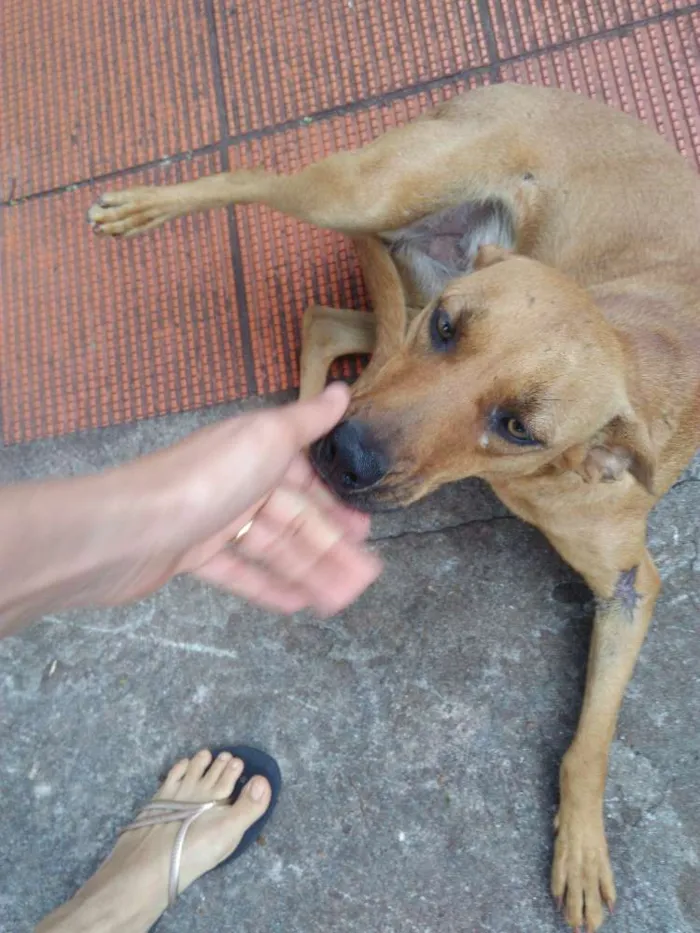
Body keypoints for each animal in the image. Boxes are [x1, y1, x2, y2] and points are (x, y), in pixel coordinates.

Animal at [87, 83, 700, 928]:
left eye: (518, 426)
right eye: (448, 327)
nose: (343, 456)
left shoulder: (630, 585)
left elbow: (593, 737)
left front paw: (581, 842)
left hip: (398, 266)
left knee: (325, 321)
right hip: (365, 197)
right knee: (250, 181)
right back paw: (147, 205)